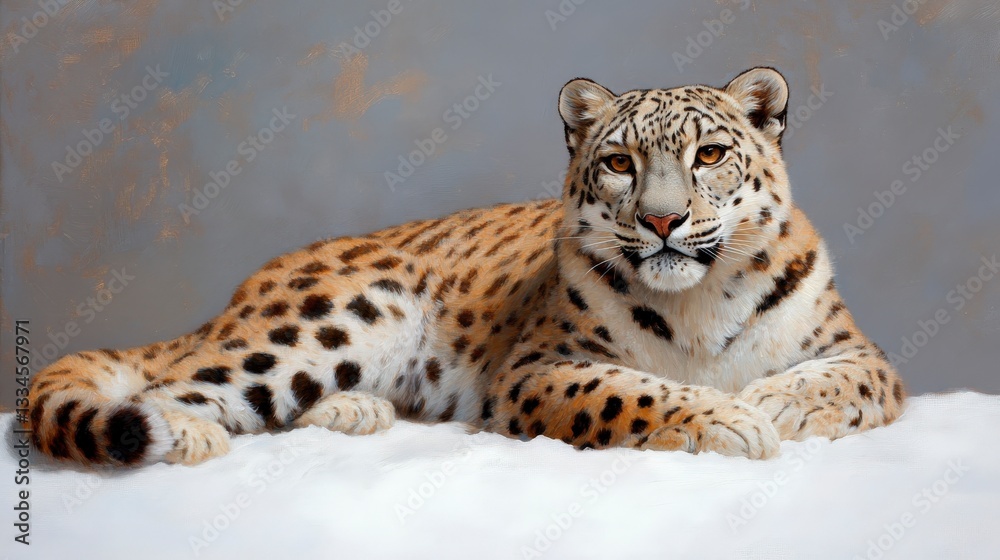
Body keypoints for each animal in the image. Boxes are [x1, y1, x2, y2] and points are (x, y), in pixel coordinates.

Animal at [27, 67, 905, 467]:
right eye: (619, 163)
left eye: (712, 155)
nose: (662, 220)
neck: (697, 307)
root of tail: (240, 293)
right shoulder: (541, 366)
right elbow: (636, 393)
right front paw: (732, 421)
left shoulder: (862, 354)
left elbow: (841, 381)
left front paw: (772, 404)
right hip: (335, 317)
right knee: (173, 386)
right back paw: (188, 436)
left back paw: (356, 411)